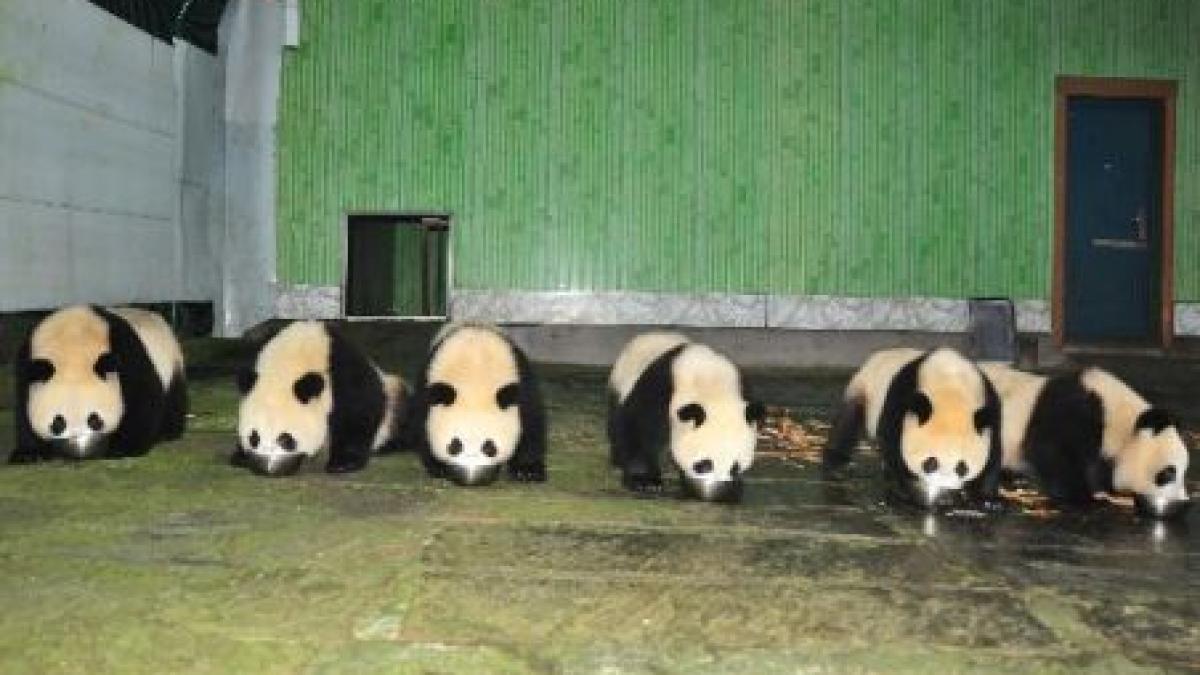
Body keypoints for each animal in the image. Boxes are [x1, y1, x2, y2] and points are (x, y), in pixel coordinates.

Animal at [11, 305, 187, 462]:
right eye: (58, 423)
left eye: (95, 420)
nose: (80, 452)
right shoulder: (26, 363)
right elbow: (23, 412)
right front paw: (29, 454)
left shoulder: (127, 355)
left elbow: (142, 400)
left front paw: (123, 448)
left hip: (171, 364)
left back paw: (167, 432)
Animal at [232, 321, 407, 477]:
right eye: (254, 438)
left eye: (286, 439)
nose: (267, 469)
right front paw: (240, 456)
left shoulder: (343, 375)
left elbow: (357, 413)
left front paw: (343, 464)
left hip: (394, 400)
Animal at [406, 322, 546, 486]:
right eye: (455, 445)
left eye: (489, 447)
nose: (471, 478)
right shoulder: (427, 384)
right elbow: (422, 426)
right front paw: (438, 467)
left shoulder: (522, 382)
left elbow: (531, 426)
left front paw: (527, 471)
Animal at [607, 332, 765, 503]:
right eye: (704, 464)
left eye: (735, 467)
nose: (713, 494)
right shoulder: (661, 390)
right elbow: (639, 426)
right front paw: (644, 482)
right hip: (620, 384)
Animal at [824, 347, 1002, 509]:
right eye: (931, 462)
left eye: (962, 467)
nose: (942, 495)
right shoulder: (900, 399)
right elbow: (893, 449)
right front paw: (909, 494)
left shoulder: (991, 408)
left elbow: (992, 458)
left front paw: (988, 500)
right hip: (863, 388)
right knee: (847, 423)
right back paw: (836, 462)